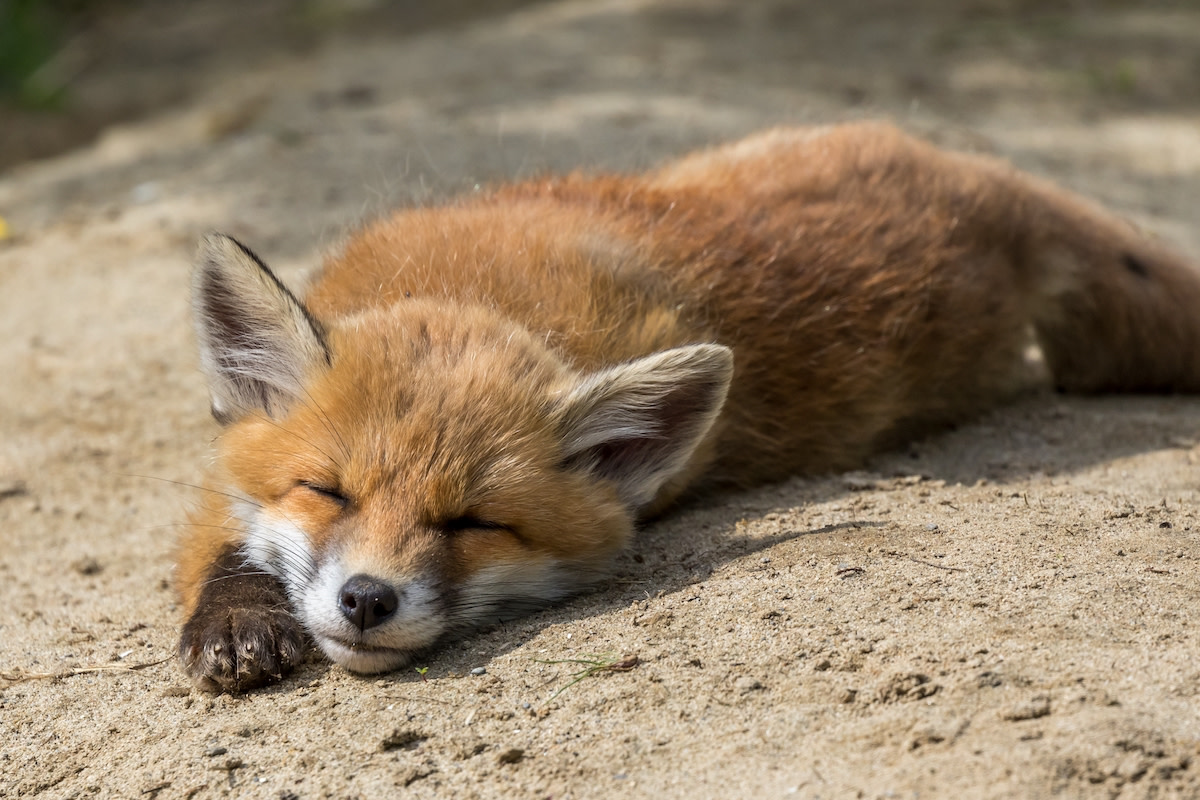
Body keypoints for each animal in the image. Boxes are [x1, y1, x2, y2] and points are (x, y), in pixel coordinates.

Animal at [175, 122, 1200, 690]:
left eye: (474, 524)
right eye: (327, 493)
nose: (366, 600)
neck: (473, 285)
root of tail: (973, 180)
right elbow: (222, 538)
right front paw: (237, 619)